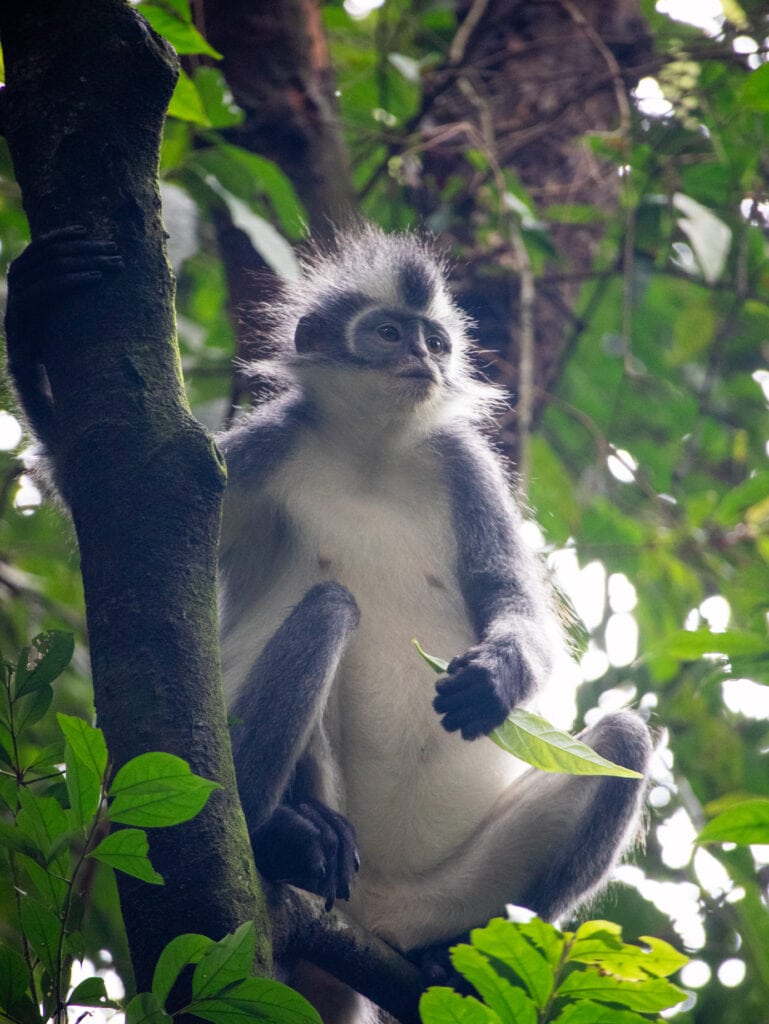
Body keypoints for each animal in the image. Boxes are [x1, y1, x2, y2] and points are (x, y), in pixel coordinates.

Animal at [6, 226, 651, 1024]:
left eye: (436, 341)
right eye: (388, 333)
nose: (424, 360)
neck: (369, 452)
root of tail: (368, 916)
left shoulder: (462, 462)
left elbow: (513, 598)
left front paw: (494, 676)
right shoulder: (253, 452)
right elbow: (99, 495)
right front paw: (32, 303)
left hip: (447, 897)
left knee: (622, 743)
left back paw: (453, 961)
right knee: (330, 607)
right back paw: (278, 836)